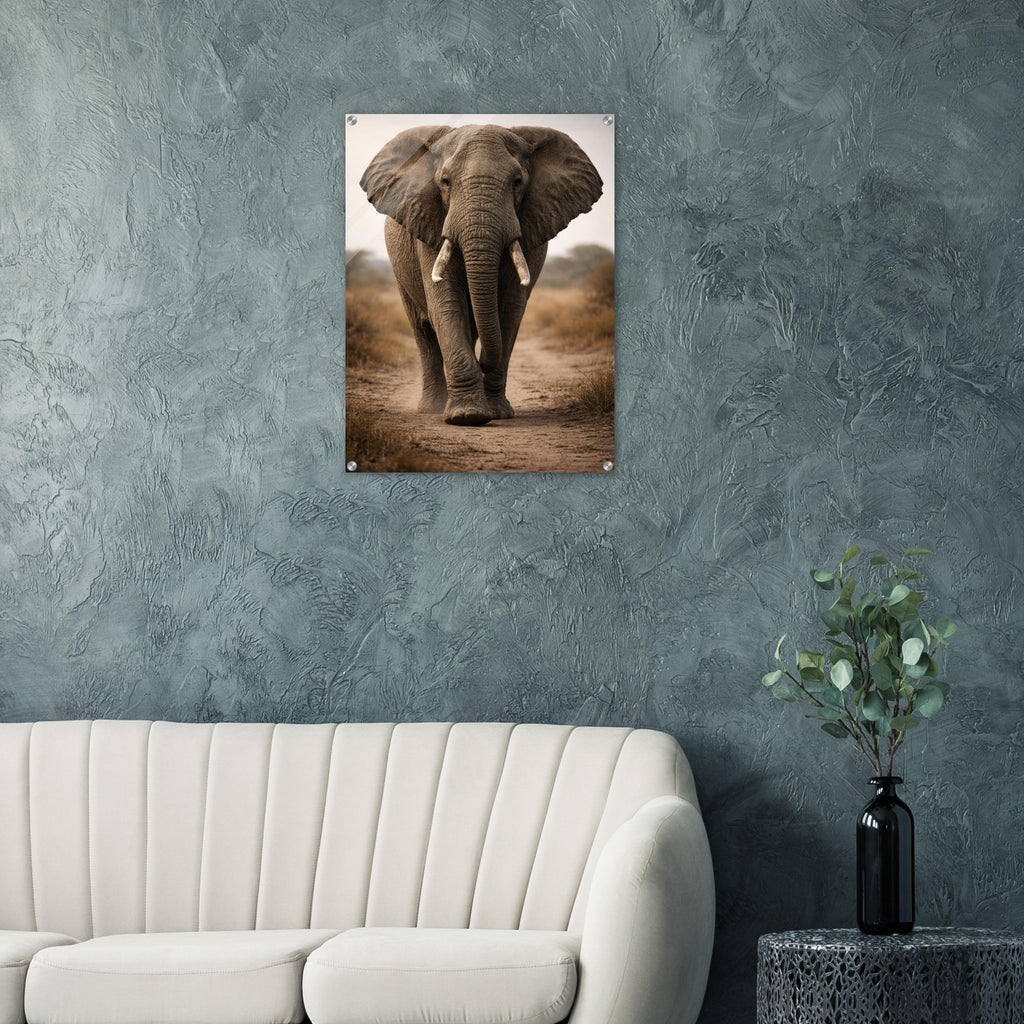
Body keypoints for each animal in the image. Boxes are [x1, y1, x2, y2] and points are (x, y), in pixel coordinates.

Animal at [359, 124, 603, 426]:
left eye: (517, 182)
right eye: (445, 181)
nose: (482, 360)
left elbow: (510, 310)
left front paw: (497, 413)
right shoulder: (430, 227)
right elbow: (446, 304)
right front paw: (468, 416)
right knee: (423, 331)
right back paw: (433, 409)